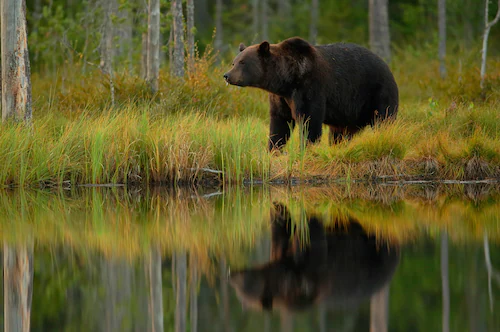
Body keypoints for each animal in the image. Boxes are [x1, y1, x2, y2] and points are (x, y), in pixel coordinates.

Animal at [225, 37, 400, 150]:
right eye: (234, 62)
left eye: (242, 62)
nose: (227, 75)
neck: (286, 80)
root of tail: (388, 67)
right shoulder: (280, 98)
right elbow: (279, 122)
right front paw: (274, 149)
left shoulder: (309, 87)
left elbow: (309, 120)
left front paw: (306, 149)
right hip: (348, 114)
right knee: (340, 133)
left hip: (377, 92)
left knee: (384, 119)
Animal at [229, 202, 398, 312]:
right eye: (237, 291)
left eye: (241, 285)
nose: (231, 274)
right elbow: (281, 227)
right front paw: (278, 211)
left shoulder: (313, 274)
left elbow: (312, 236)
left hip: (375, 251)